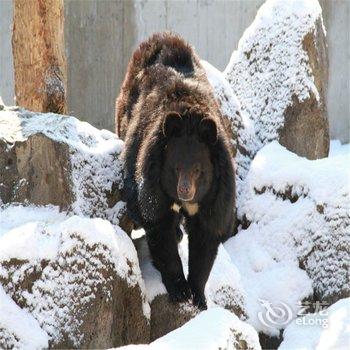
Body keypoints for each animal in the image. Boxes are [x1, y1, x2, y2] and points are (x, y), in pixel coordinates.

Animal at [115, 32, 235, 308]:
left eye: (199, 170)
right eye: (175, 167)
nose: (185, 191)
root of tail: (162, 37)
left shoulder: (216, 193)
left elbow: (205, 237)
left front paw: (198, 295)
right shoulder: (151, 181)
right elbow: (159, 227)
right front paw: (180, 290)